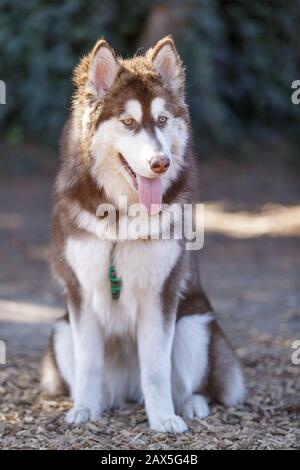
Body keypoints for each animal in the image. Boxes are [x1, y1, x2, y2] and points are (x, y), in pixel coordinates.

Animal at [41, 35, 245, 434]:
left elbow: (156, 367)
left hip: (195, 327)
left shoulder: (160, 294)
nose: (160, 163)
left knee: (192, 384)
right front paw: (83, 409)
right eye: (129, 122)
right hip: (60, 333)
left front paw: (164, 417)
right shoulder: (80, 293)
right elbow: (89, 363)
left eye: (163, 120)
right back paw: (100, 402)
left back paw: (191, 404)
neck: (120, 217)